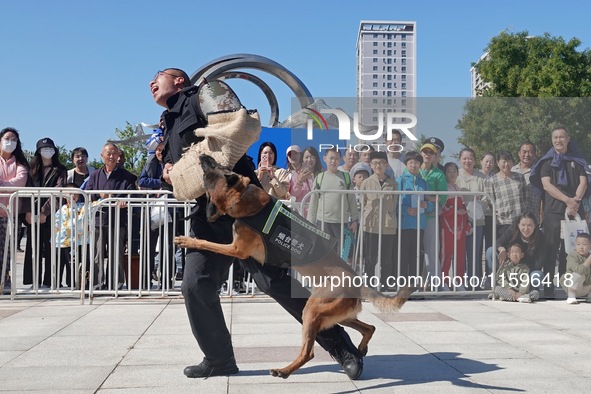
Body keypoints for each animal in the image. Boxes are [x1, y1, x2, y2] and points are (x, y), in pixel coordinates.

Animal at [176, 154, 414, 378]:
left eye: (214, 170)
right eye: (220, 166)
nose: (203, 155)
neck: (243, 196)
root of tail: (357, 279)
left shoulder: (236, 249)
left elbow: (207, 243)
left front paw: (186, 240)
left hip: (312, 310)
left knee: (308, 352)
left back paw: (284, 370)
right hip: (338, 314)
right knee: (369, 327)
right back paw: (360, 350)